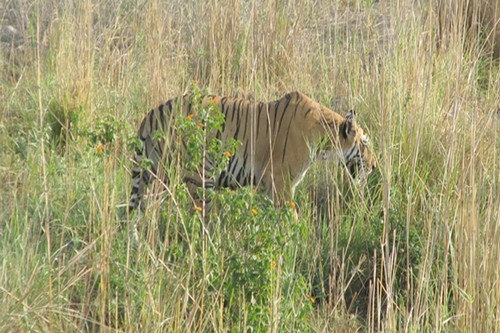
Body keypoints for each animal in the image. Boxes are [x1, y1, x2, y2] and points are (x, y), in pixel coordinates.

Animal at [129, 91, 376, 210]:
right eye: (365, 144)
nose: (374, 166)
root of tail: (152, 115)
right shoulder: (280, 181)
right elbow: (290, 215)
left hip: (153, 173)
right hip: (199, 176)